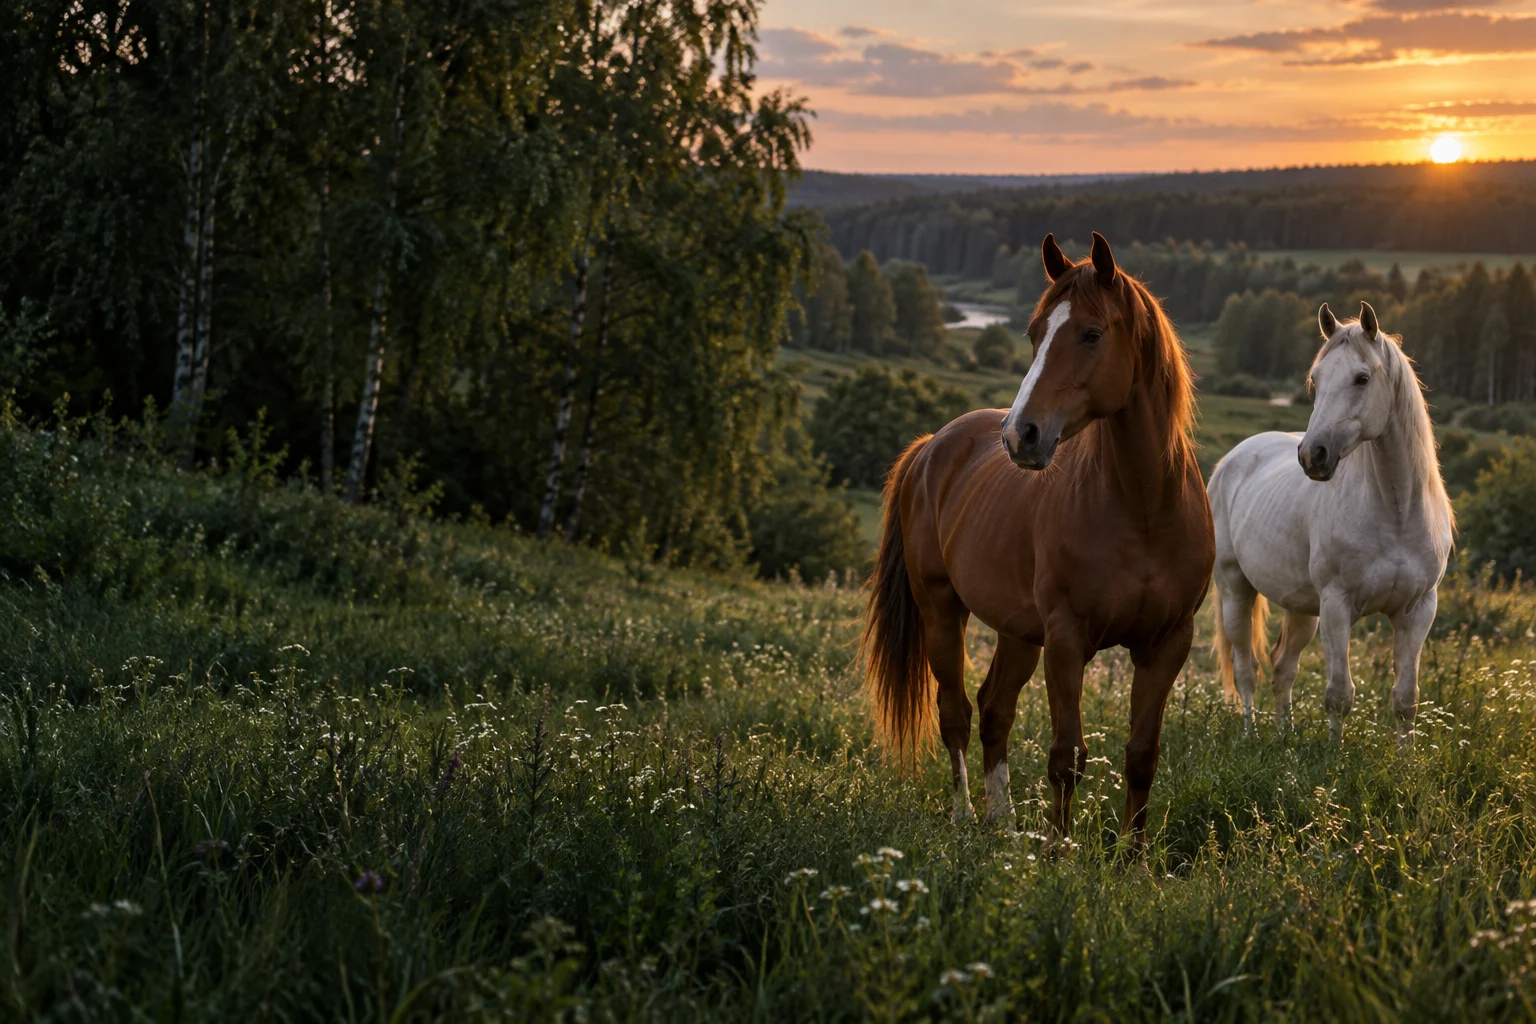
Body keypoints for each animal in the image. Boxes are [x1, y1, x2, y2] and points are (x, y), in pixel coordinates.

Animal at [861, 232, 1215, 848]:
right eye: (1032, 334)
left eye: (1092, 333)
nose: (1019, 435)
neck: (1144, 507)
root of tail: (933, 446)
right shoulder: (1067, 639)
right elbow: (1066, 756)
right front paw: (1057, 853)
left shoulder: (1168, 643)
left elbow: (1141, 756)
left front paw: (1133, 858)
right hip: (941, 611)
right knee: (955, 711)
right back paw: (965, 818)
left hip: (1019, 631)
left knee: (994, 709)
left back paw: (1003, 825)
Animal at [1207, 302, 1453, 745]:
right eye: (1316, 380)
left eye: (1362, 378)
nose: (1312, 456)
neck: (1396, 513)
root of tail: (1231, 460)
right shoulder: (1337, 605)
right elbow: (1339, 695)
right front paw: (1332, 758)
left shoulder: (1418, 610)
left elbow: (1406, 700)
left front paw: (1406, 763)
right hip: (1236, 588)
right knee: (1246, 669)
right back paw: (1251, 737)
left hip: (1302, 607)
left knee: (1282, 667)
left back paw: (1285, 740)